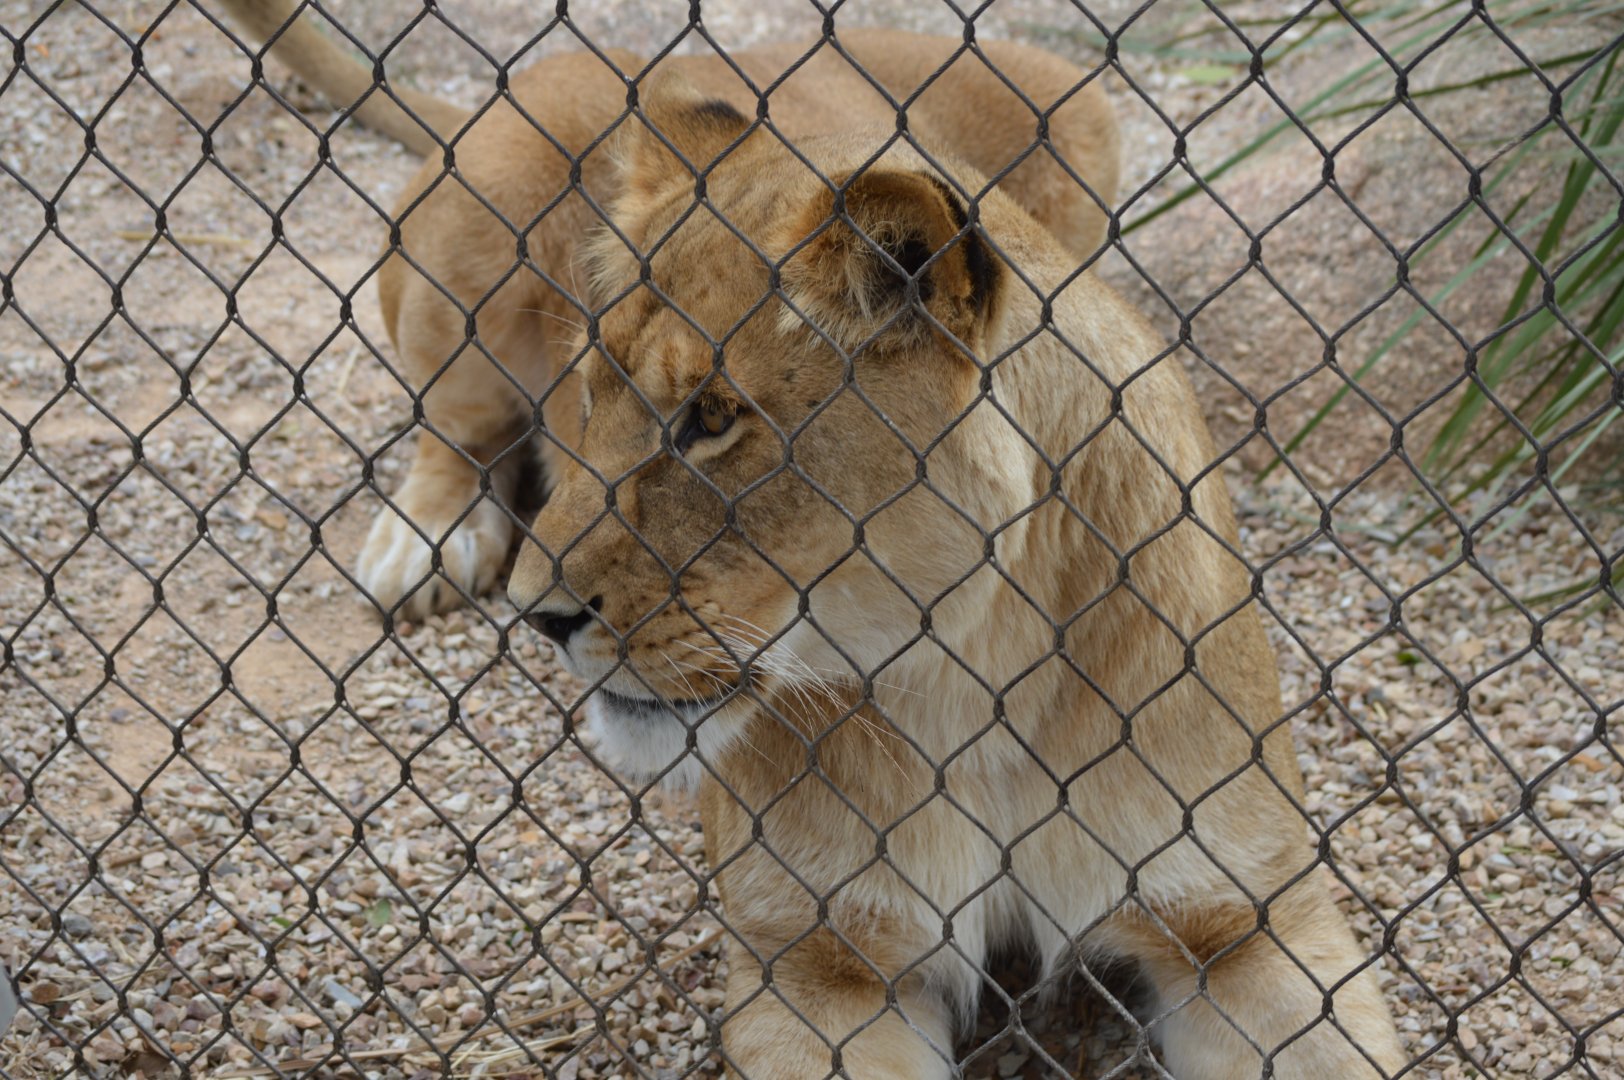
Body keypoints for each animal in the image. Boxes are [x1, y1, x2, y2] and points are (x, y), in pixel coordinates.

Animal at [225, 4, 1405, 1076]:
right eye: (591, 390)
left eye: (710, 420)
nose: (541, 617)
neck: (970, 681)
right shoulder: (814, 958)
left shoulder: (1251, 919)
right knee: (449, 429)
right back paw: (421, 547)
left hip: (1082, 112)